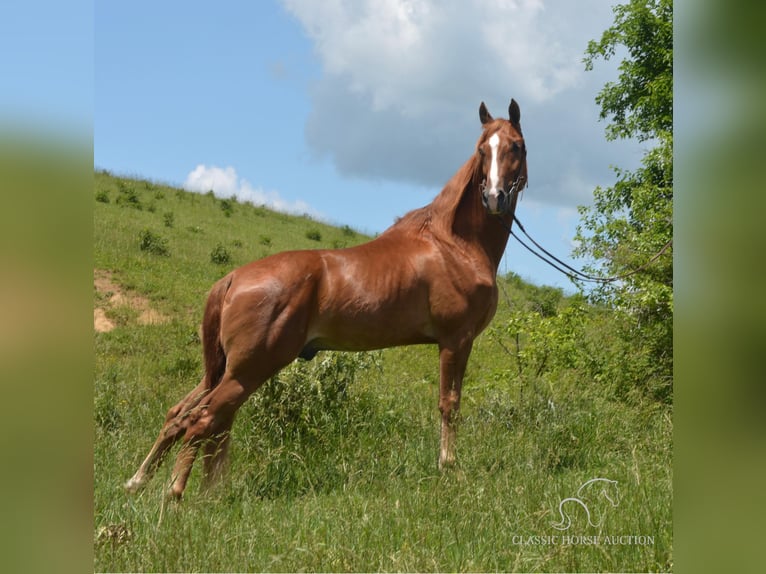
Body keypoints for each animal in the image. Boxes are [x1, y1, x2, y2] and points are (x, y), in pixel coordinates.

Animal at [124, 98, 528, 500]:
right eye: (482, 150)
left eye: (516, 147)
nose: (494, 198)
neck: (452, 245)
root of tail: (233, 278)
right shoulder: (456, 340)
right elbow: (450, 404)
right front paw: (450, 468)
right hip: (248, 369)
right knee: (202, 420)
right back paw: (174, 495)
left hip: (226, 370)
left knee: (185, 415)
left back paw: (154, 482)